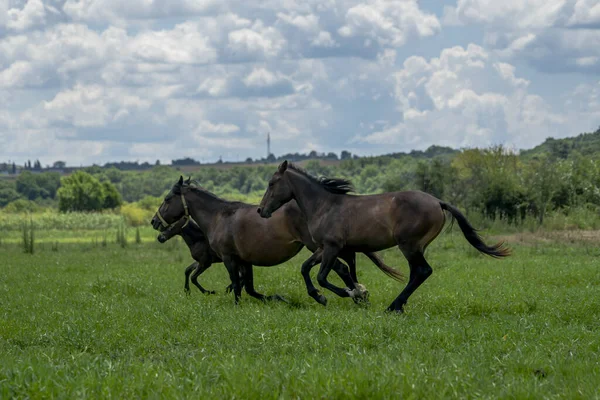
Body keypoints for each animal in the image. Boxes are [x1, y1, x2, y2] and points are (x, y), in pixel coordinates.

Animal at [151, 177, 404, 304]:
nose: (154, 222)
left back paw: (349, 294)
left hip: (319, 246)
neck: (219, 217)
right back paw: (358, 294)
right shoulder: (245, 261)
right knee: (346, 266)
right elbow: (249, 288)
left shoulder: (229, 259)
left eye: (167, 198)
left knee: (341, 268)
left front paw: (236, 305)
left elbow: (238, 287)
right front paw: (280, 299)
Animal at [256, 161, 510, 314]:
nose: (261, 210)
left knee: (422, 271)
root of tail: (438, 202)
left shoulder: (332, 246)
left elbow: (322, 276)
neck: (325, 206)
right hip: (415, 247)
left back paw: (393, 307)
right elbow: (305, 269)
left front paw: (353, 292)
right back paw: (397, 305)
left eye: (271, 183)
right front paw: (321, 297)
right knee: (417, 273)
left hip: (409, 245)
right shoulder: (322, 248)